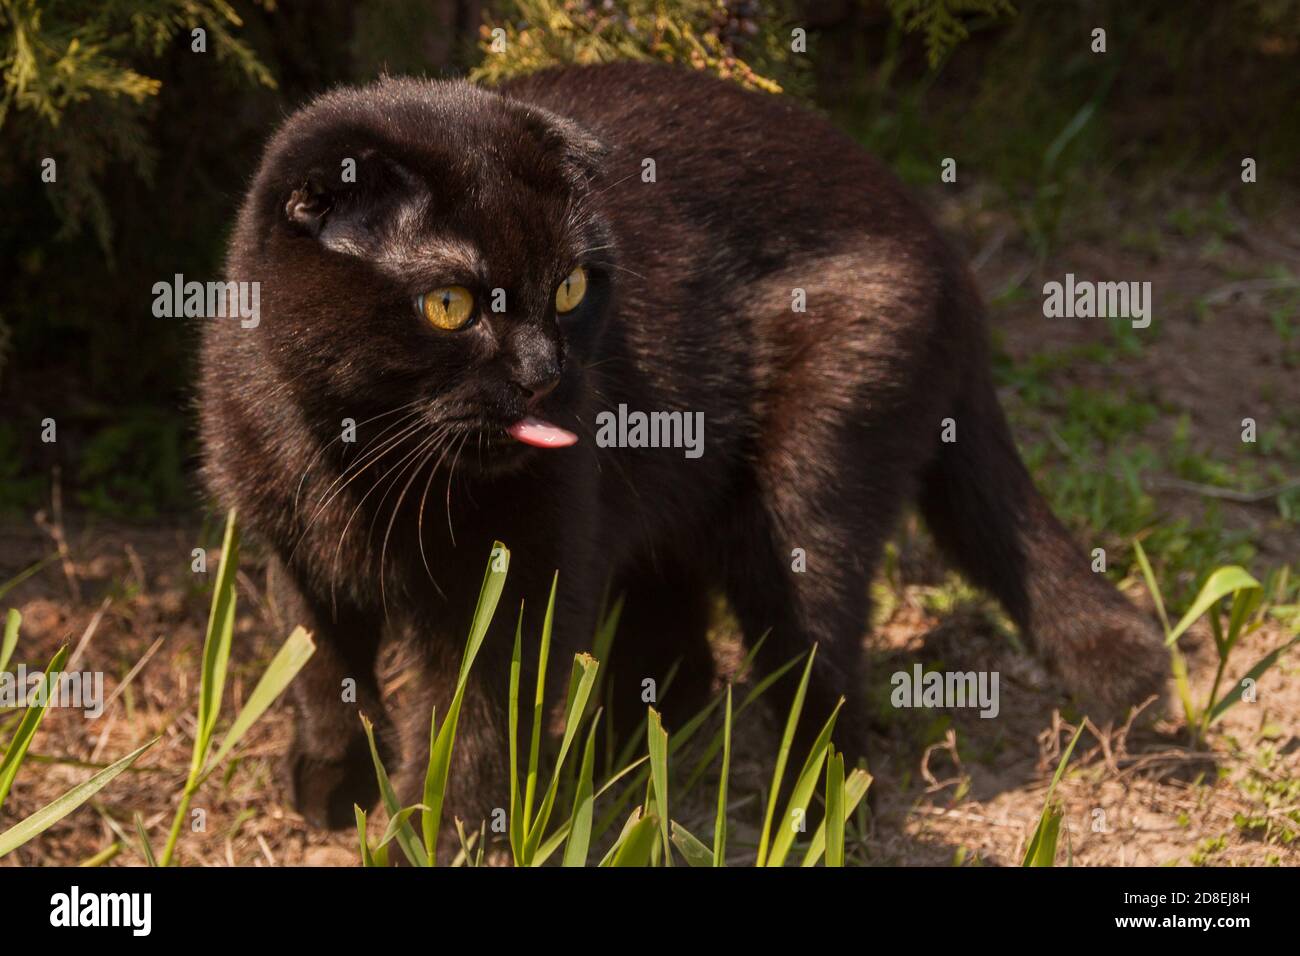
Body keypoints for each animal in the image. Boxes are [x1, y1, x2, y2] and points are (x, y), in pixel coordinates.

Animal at [200, 63, 1170, 832]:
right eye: (450, 304)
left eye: (571, 286)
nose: (547, 373)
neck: (356, 460)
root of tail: (939, 238)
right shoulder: (291, 548)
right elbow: (319, 669)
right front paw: (334, 785)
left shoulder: (526, 580)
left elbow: (477, 725)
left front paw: (452, 831)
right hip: (669, 493)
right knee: (684, 652)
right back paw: (625, 762)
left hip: (806, 487)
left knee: (819, 670)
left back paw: (804, 813)